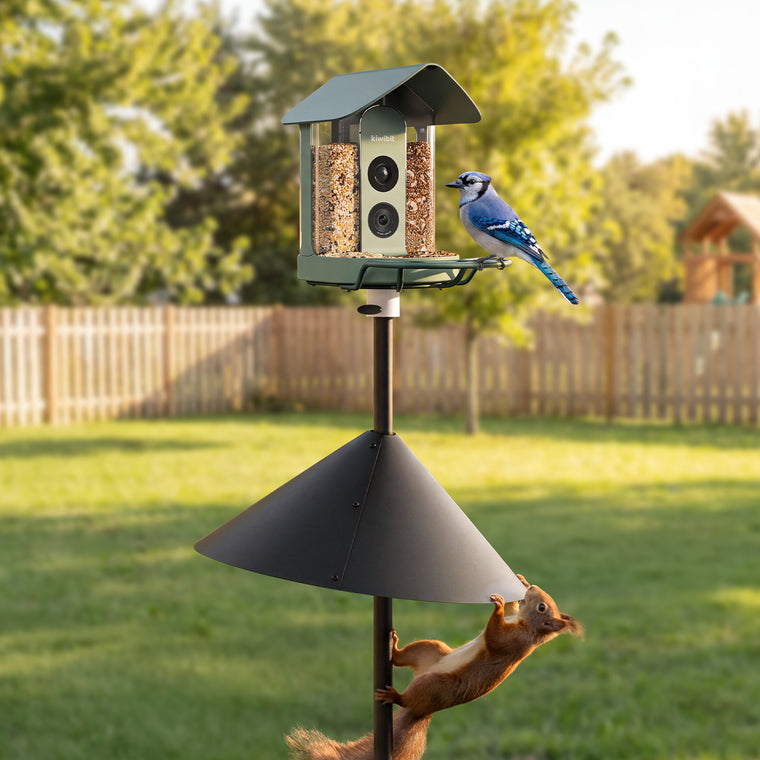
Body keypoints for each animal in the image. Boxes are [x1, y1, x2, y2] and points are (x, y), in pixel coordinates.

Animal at [286, 574, 583, 760]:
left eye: (542, 607)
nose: (532, 588)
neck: (526, 626)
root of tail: (425, 711)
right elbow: (510, 611)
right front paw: (518, 585)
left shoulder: (511, 644)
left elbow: (495, 636)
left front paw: (498, 607)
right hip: (430, 649)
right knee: (403, 658)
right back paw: (393, 647)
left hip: (431, 685)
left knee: (407, 699)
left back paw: (394, 695)